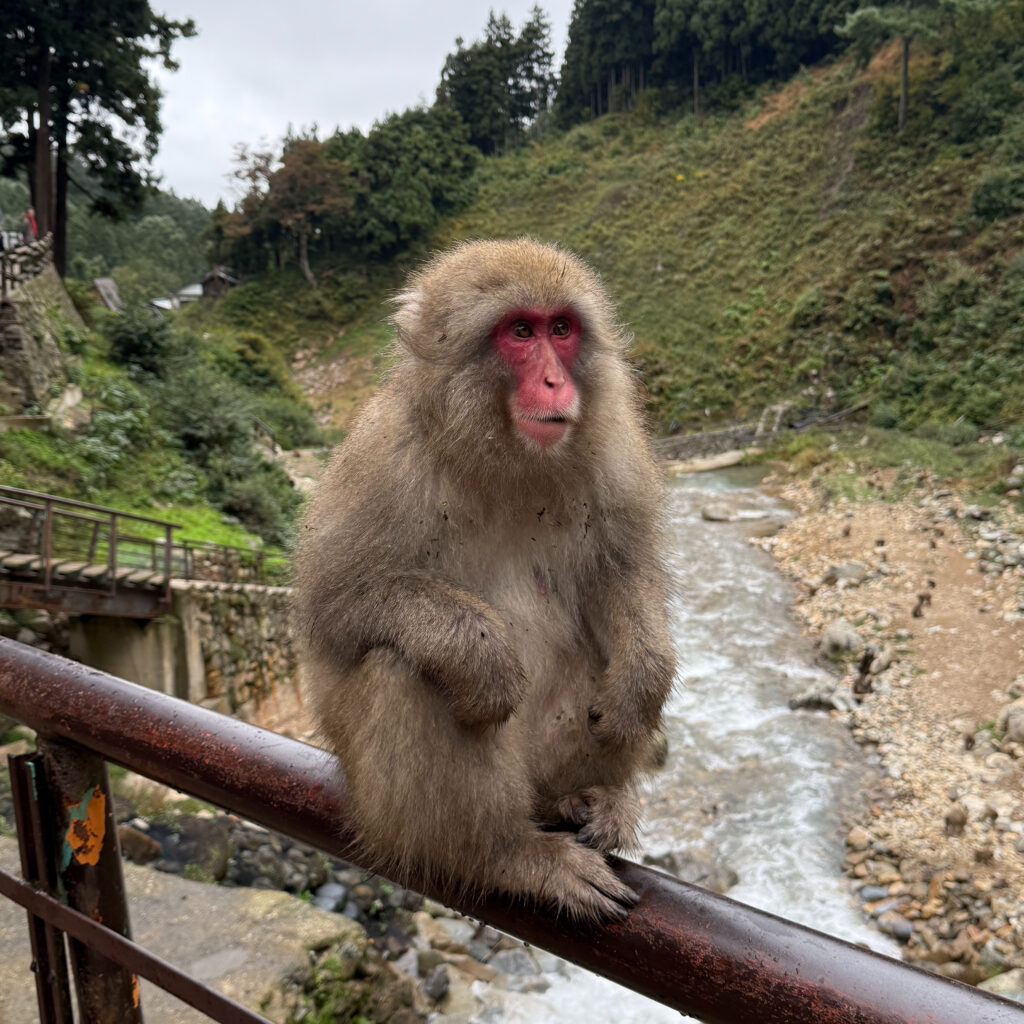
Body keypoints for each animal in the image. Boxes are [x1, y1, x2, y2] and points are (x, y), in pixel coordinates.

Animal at [293, 238, 675, 923]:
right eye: (520, 332)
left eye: (561, 329)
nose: (554, 381)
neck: (504, 454)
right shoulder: (382, 460)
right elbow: (331, 606)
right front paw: (482, 655)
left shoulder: (615, 452)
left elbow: (619, 573)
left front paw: (642, 680)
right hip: (383, 805)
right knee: (405, 667)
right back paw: (508, 856)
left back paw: (592, 800)